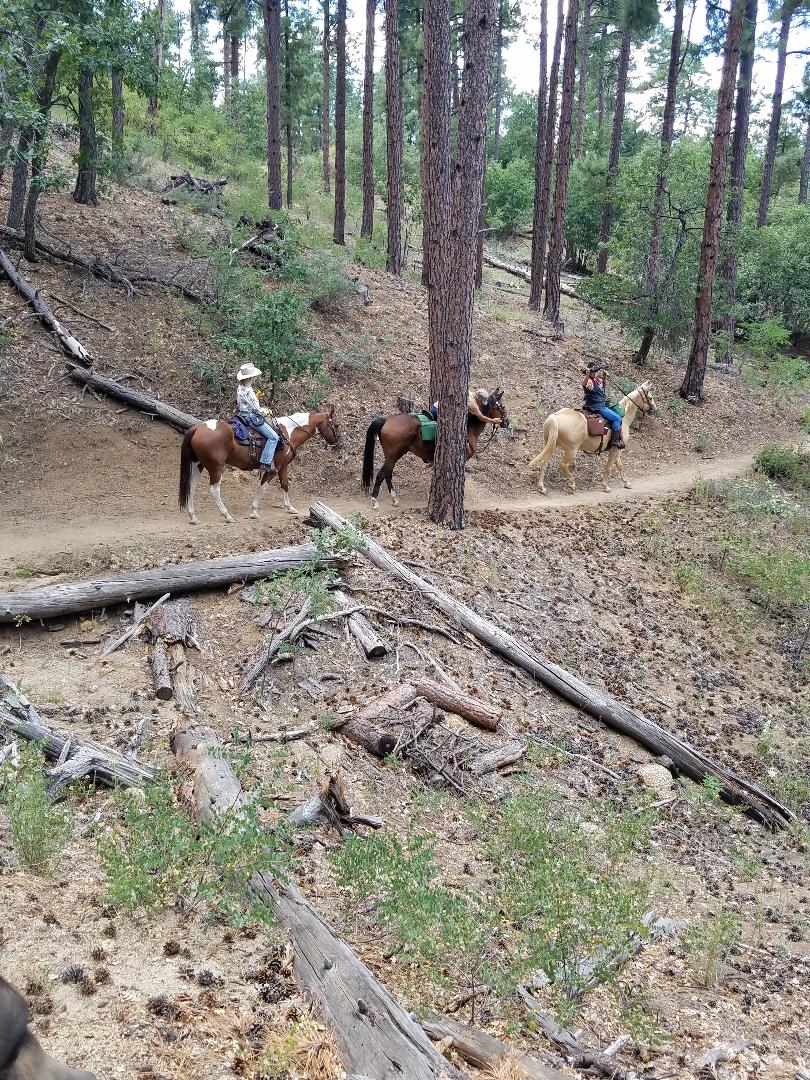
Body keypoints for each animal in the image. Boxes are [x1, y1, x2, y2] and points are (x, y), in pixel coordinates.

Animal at [178, 405, 341, 524]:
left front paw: (289, 507)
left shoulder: (283, 467)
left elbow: (285, 484)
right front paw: (253, 512)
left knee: (191, 486)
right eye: (336, 425)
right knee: (214, 489)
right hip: (216, 467)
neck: (288, 433)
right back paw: (227, 515)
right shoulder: (273, 469)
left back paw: (193, 517)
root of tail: (197, 428)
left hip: (198, 464)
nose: (338, 444)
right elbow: (262, 488)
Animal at [362, 389, 509, 509]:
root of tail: (386, 420)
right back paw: (375, 500)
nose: (506, 422)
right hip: (393, 455)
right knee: (383, 474)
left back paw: (393, 499)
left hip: (394, 455)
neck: (468, 428)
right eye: (501, 406)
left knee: (387, 473)